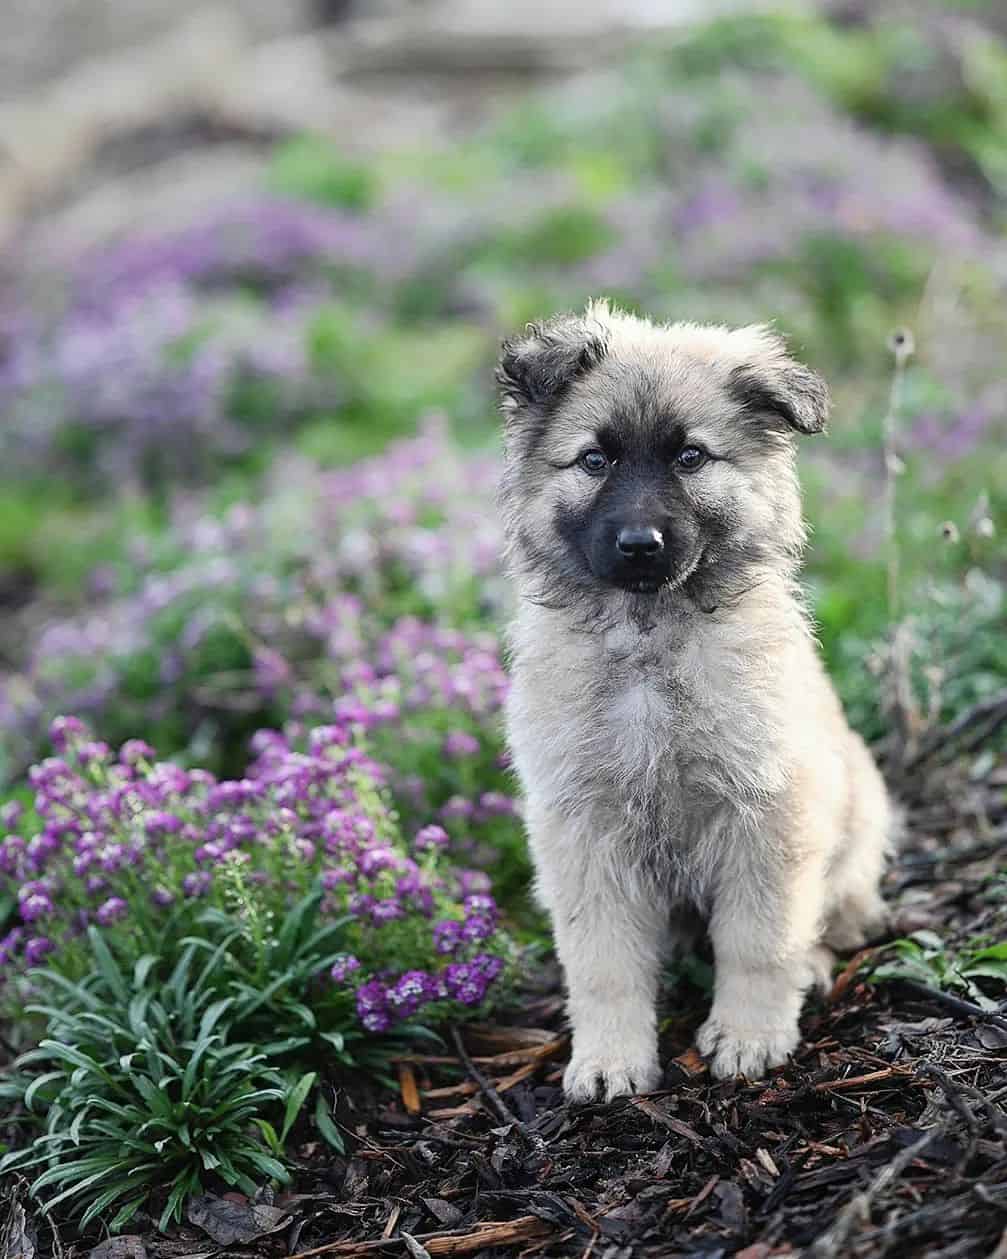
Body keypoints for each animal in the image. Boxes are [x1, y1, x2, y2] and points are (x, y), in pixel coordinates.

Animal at [493, 299, 891, 1097]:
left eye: (690, 458)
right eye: (595, 460)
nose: (639, 544)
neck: (649, 637)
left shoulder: (766, 816)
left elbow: (759, 942)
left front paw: (749, 1035)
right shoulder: (584, 834)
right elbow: (603, 964)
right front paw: (610, 1059)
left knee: (835, 914)